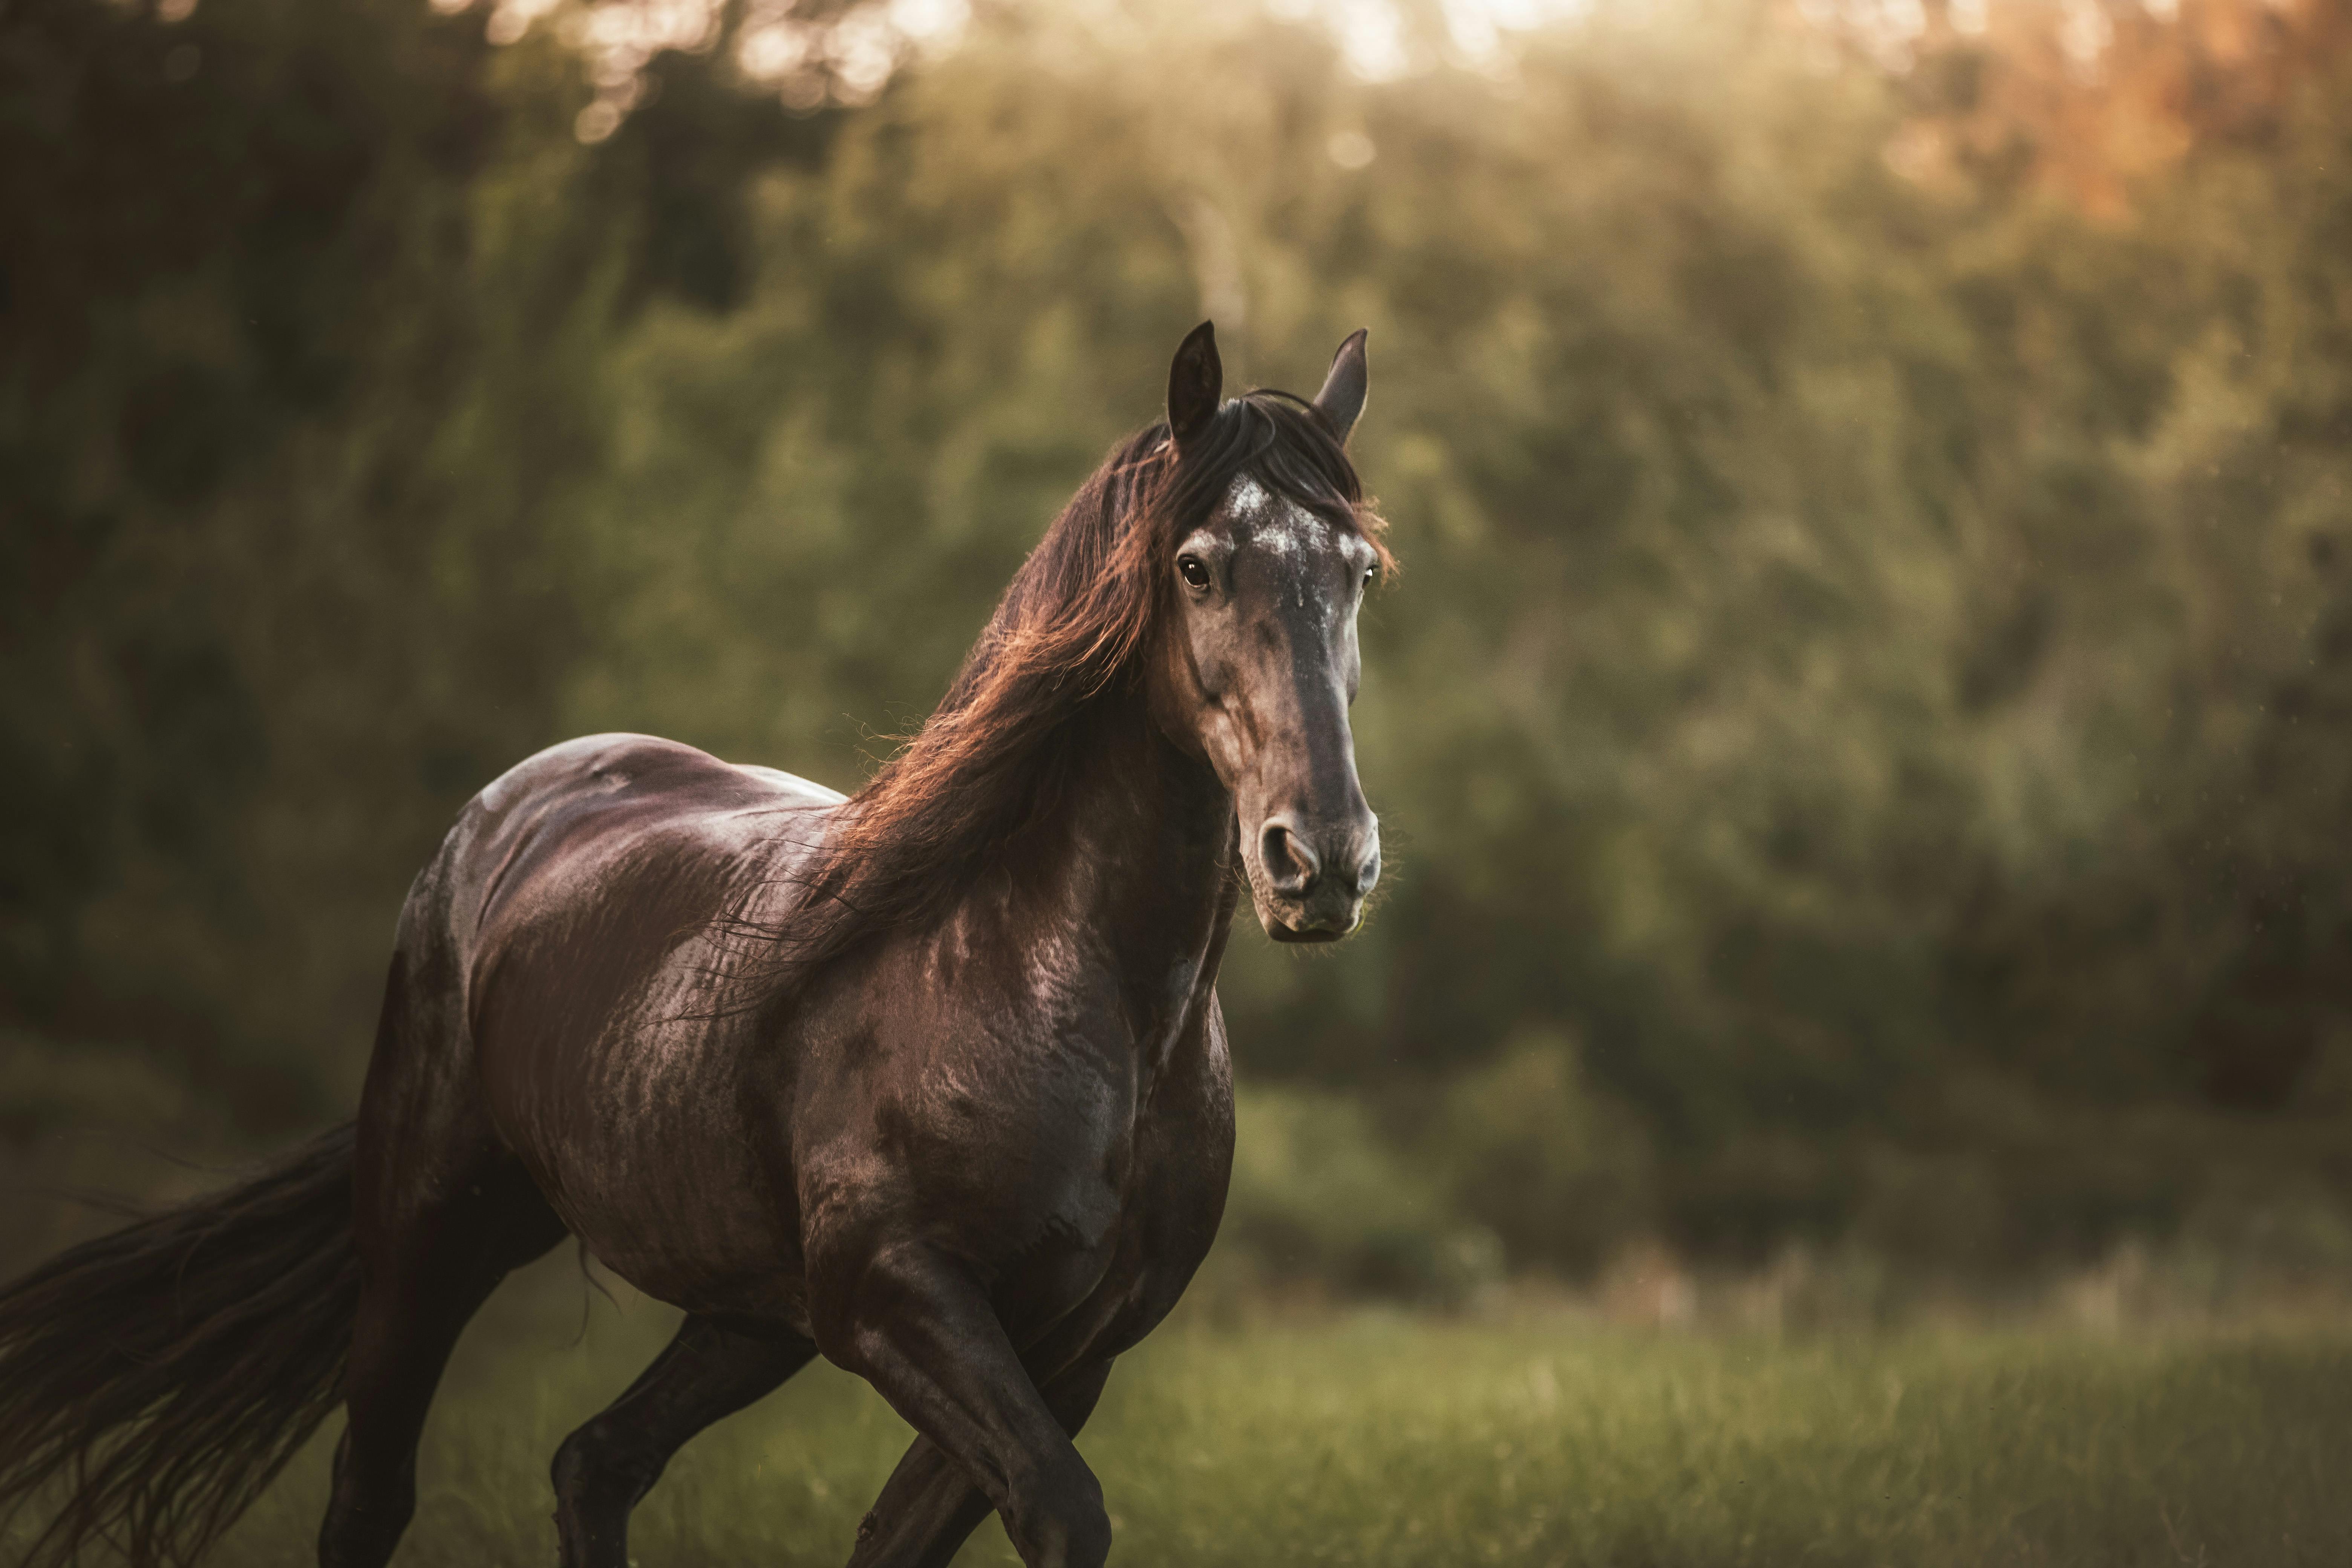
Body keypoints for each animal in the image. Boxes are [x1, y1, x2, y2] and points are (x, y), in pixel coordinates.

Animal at [0, 321, 1393, 1568]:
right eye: (1200, 566)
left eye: (1360, 573)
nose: (1322, 859)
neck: (1066, 988)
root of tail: (510, 810)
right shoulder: (896, 1293)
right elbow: (1060, 1510)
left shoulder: (1074, 1349)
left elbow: (906, 1539)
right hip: (429, 1231)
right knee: (373, 1494)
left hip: (742, 1313)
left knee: (592, 1463)